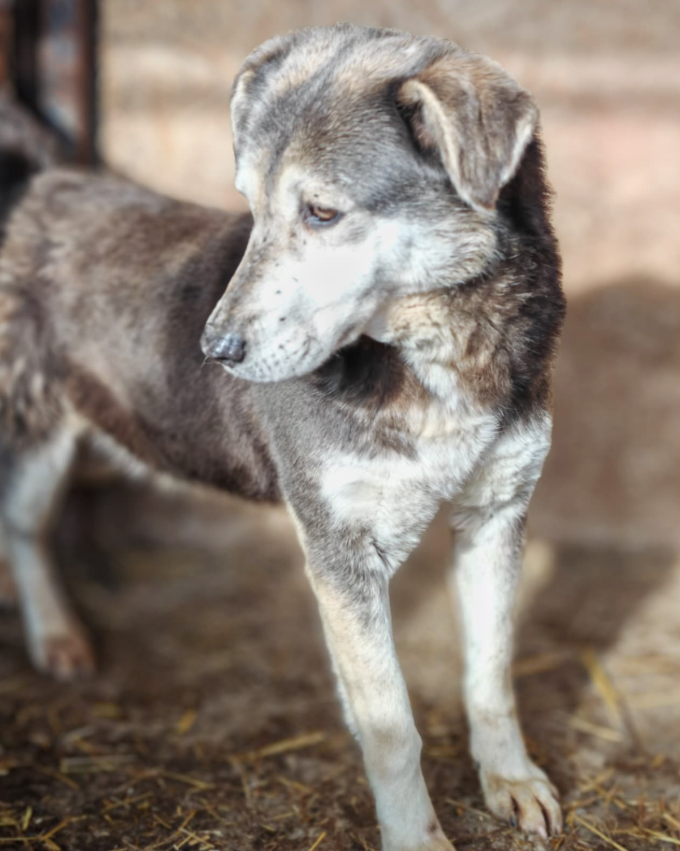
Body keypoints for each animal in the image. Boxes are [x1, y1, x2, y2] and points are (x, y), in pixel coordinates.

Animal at [0, 25, 565, 850]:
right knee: (22, 523)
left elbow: (492, 672)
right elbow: (391, 727)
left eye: (322, 212)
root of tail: (43, 182)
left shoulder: (496, 512)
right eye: (251, 205)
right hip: (35, 423)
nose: (214, 349)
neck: (432, 353)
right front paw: (417, 835)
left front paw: (511, 779)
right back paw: (55, 635)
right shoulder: (341, 549)